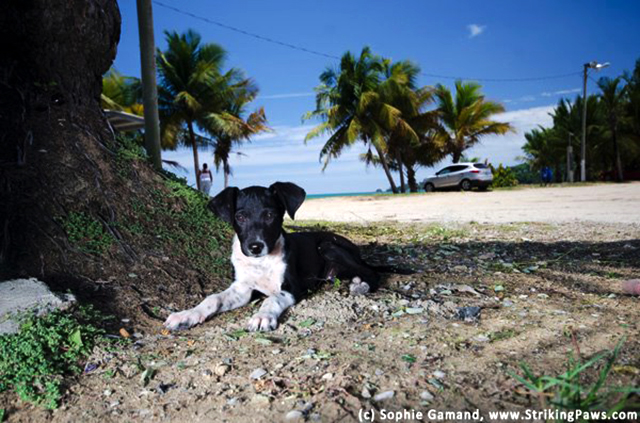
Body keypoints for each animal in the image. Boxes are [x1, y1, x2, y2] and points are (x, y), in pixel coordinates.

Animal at [165, 184, 382, 332]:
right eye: (240, 217)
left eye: (270, 215)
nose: (255, 247)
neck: (260, 262)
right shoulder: (242, 289)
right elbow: (213, 298)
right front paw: (187, 315)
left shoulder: (292, 288)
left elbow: (272, 299)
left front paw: (262, 316)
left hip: (328, 246)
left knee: (371, 271)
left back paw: (361, 285)